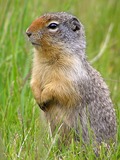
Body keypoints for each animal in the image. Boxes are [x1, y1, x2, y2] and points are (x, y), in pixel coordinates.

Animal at [26, 11, 116, 146]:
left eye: (53, 26)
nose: (27, 32)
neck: (47, 58)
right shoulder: (36, 70)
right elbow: (34, 82)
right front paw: (38, 97)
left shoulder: (71, 74)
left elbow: (60, 88)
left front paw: (44, 96)